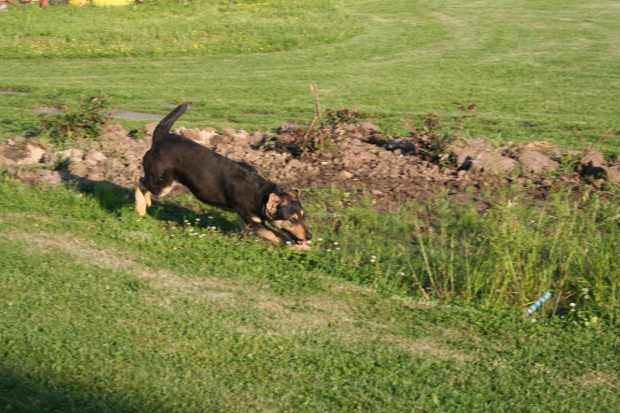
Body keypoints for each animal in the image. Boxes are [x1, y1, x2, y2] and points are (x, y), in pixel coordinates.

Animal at [134, 104, 310, 249]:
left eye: (303, 216)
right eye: (292, 220)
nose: (309, 236)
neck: (261, 194)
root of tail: (160, 137)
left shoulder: (244, 217)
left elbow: (246, 229)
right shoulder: (253, 220)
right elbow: (279, 235)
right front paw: (301, 248)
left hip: (162, 182)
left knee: (143, 182)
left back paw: (147, 202)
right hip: (163, 185)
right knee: (138, 180)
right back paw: (140, 208)